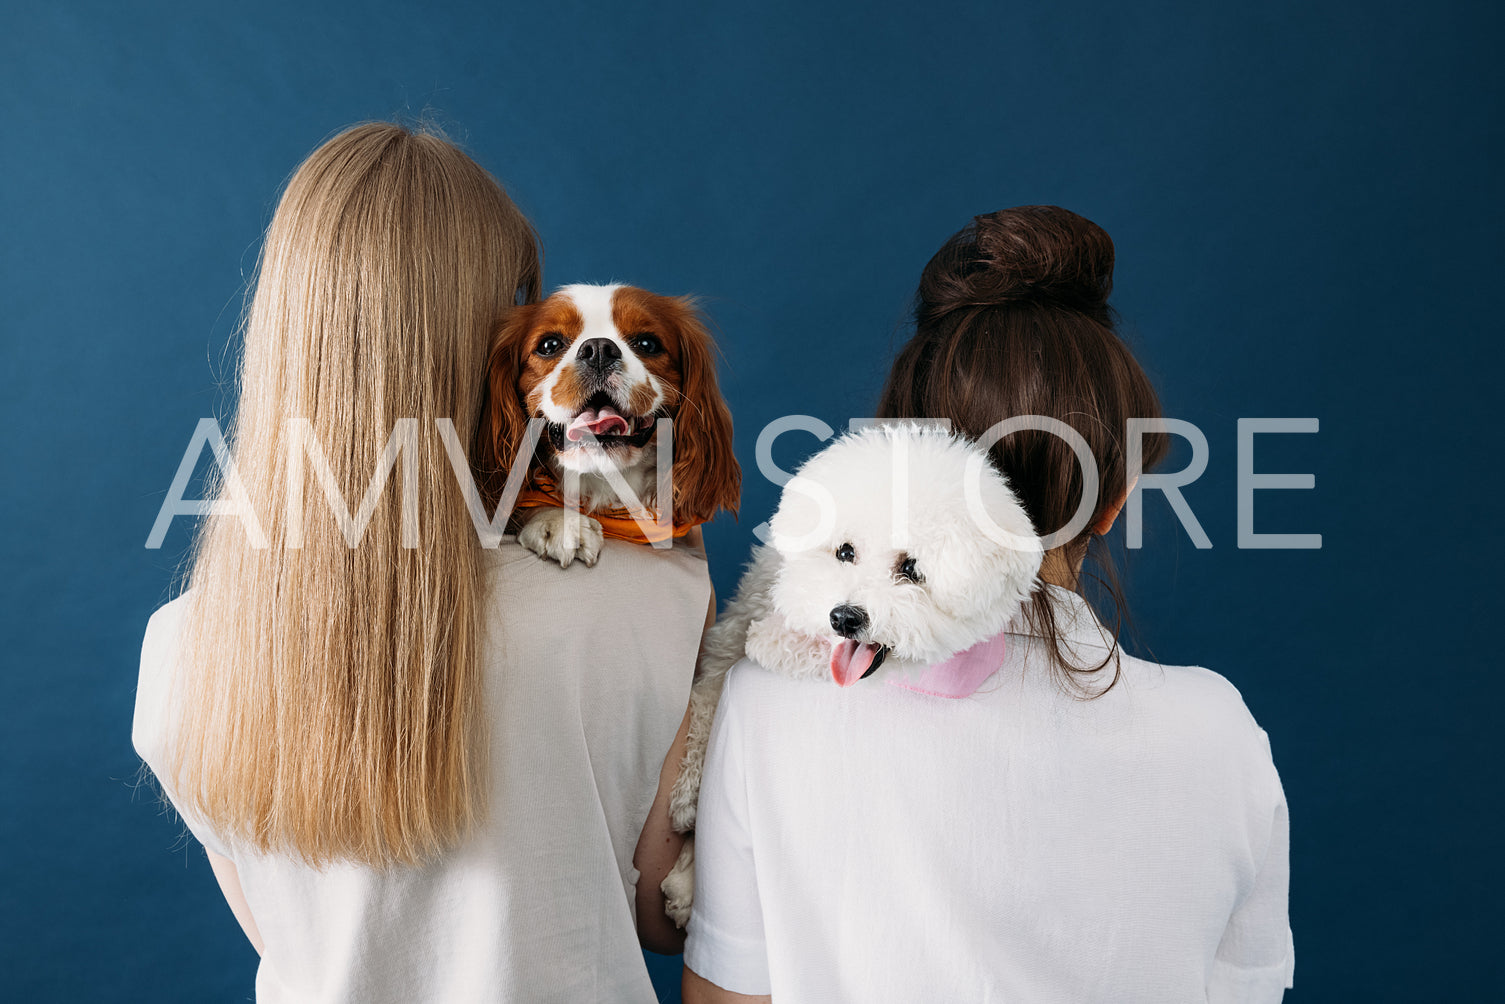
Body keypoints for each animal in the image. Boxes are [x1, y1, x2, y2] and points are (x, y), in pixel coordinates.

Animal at [665, 424, 1041, 927]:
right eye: (845, 551)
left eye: (911, 569)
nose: (844, 617)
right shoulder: (731, 635)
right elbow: (707, 698)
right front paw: (688, 801)